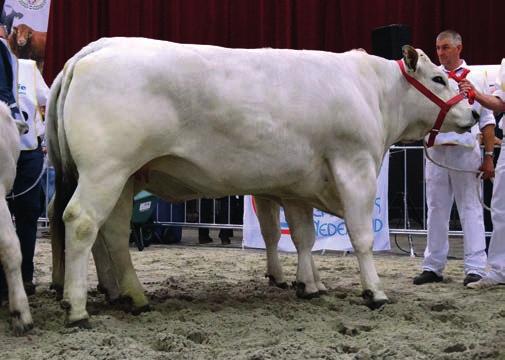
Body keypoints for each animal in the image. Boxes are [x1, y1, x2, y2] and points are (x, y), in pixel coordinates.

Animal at [45, 37, 474, 326]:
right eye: (439, 78)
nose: (471, 112)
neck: (370, 92)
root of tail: (90, 54)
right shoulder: (354, 165)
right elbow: (361, 235)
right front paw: (375, 292)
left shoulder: (300, 182)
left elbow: (302, 236)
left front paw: (309, 286)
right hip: (106, 168)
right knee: (82, 223)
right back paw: (78, 308)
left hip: (123, 175)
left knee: (112, 232)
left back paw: (130, 295)